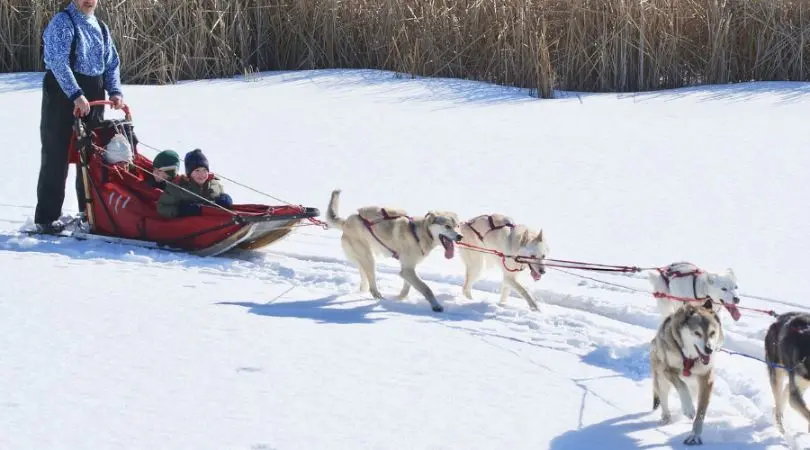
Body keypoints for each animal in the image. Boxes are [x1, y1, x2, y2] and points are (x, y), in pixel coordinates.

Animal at [324, 188, 460, 312]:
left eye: (457, 226)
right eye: (447, 226)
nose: (460, 236)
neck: (419, 233)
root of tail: (346, 221)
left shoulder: (408, 270)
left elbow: (407, 288)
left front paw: (399, 298)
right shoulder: (407, 270)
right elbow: (426, 288)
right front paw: (436, 305)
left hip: (363, 259)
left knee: (364, 277)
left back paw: (363, 291)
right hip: (369, 259)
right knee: (372, 283)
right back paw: (378, 296)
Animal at [648, 300, 724, 444]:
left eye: (712, 333)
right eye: (697, 333)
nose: (709, 349)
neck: (689, 358)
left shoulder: (706, 379)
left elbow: (701, 412)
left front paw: (695, 435)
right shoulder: (667, 370)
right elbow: (682, 386)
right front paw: (688, 408)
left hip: (694, 386)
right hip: (661, 377)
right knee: (663, 396)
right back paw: (666, 416)